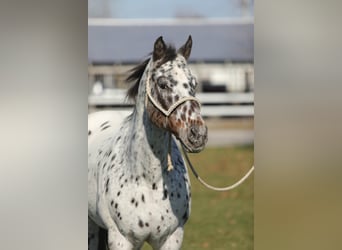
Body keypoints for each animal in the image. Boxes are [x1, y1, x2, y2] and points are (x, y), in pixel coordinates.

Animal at [87, 35, 207, 250]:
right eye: (163, 84)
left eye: (193, 83)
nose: (198, 134)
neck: (149, 181)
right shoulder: (121, 239)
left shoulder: (171, 238)